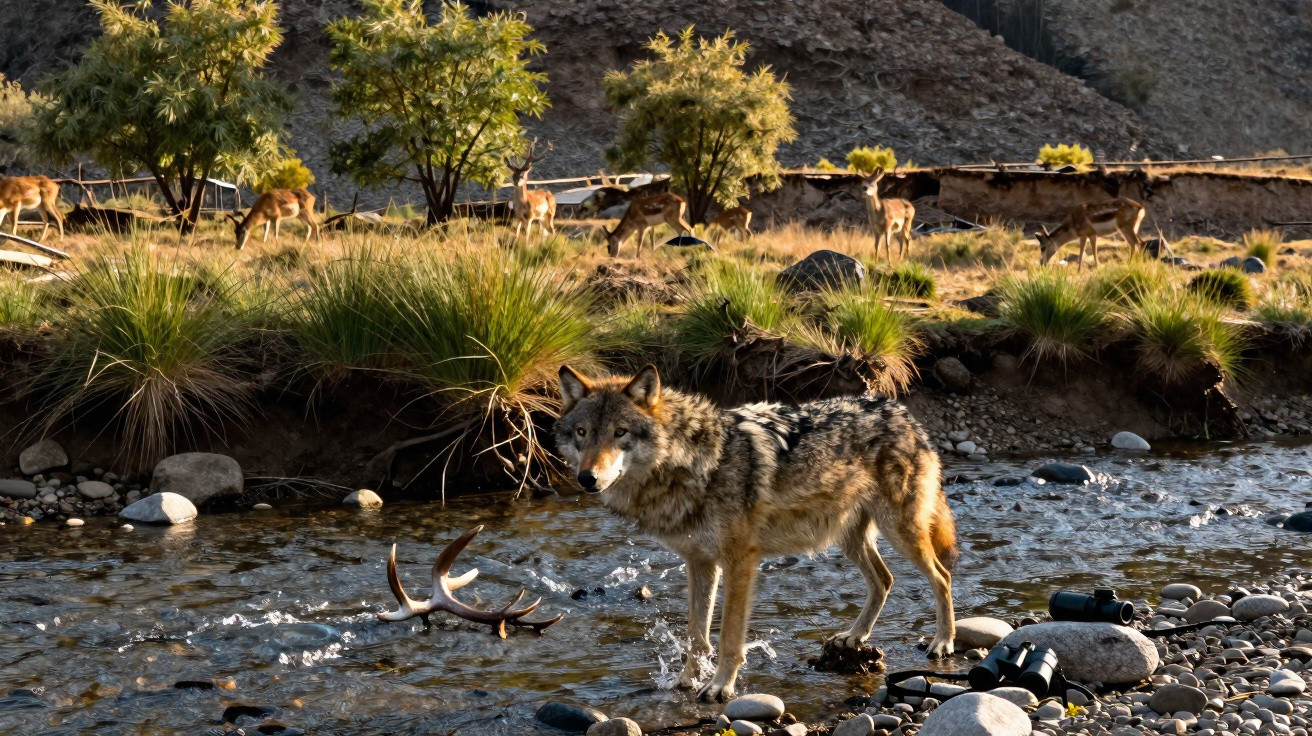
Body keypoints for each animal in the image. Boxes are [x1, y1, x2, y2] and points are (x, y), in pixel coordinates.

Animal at [554, 364, 957, 702]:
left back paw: (942, 642)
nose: (587, 478)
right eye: (582, 433)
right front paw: (687, 681)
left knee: (942, 576)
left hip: (900, 532)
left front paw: (720, 686)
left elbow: (729, 637)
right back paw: (854, 636)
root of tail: (902, 411)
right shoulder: (699, 563)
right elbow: (696, 636)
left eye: (620, 433)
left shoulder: (740, 562)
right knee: (884, 580)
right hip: (848, 538)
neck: (697, 464)